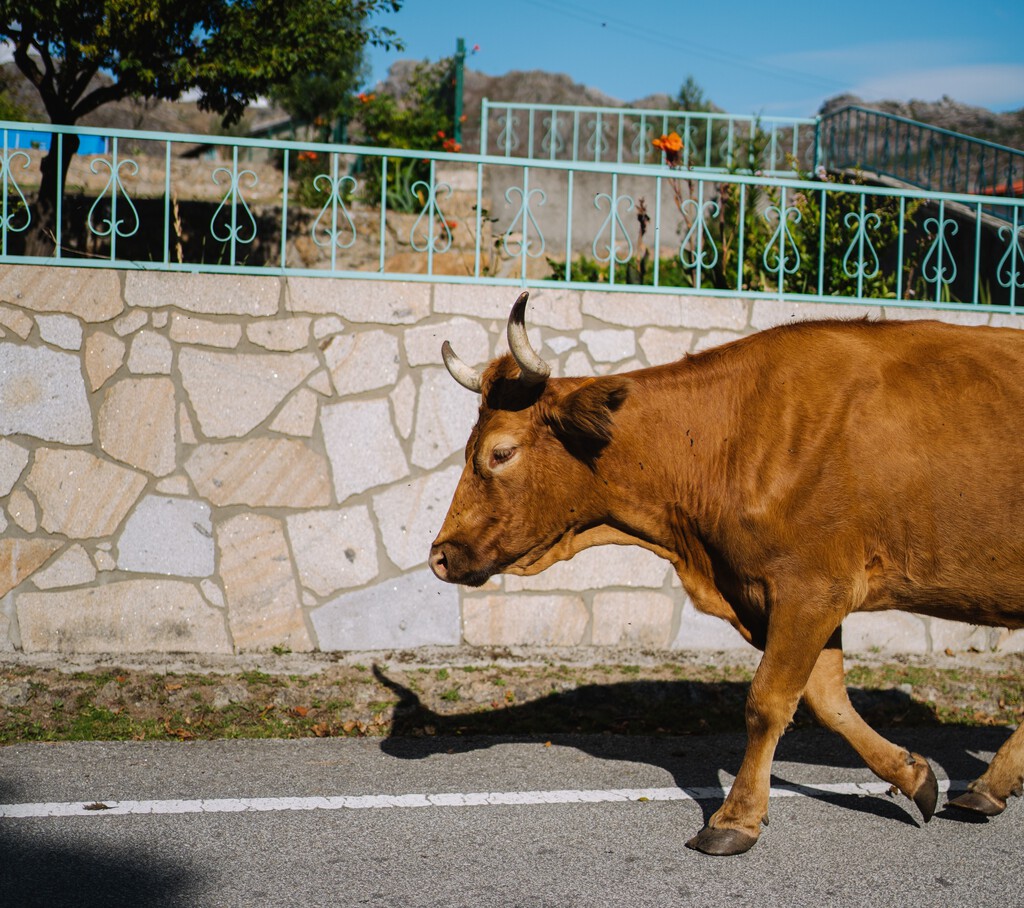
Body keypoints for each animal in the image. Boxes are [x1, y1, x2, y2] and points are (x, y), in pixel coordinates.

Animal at [428, 291, 1024, 855]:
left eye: (500, 453)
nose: (439, 555)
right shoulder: (797, 595)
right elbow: (826, 700)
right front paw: (916, 776)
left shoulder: (811, 589)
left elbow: (767, 701)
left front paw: (734, 820)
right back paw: (985, 788)